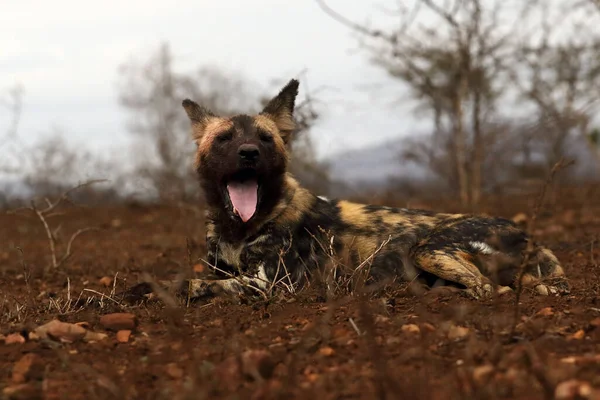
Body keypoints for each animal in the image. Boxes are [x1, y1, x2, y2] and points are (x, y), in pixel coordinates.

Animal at [123, 79, 568, 302]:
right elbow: (201, 277)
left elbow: (196, 284)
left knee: (489, 289)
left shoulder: (267, 285)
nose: (249, 154)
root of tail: (529, 235)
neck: (241, 229)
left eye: (265, 139)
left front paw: (150, 290)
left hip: (428, 249)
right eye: (224, 139)